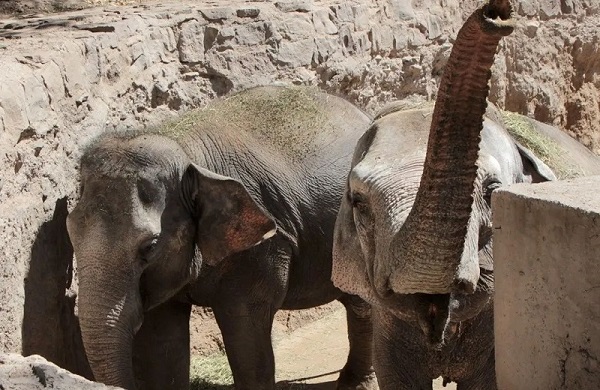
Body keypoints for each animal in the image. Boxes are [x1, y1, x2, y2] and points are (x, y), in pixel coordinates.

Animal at [68, 86, 378, 390]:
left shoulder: (263, 248)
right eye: (70, 232)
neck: (184, 148)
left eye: (150, 246)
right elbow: (163, 339)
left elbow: (245, 332)